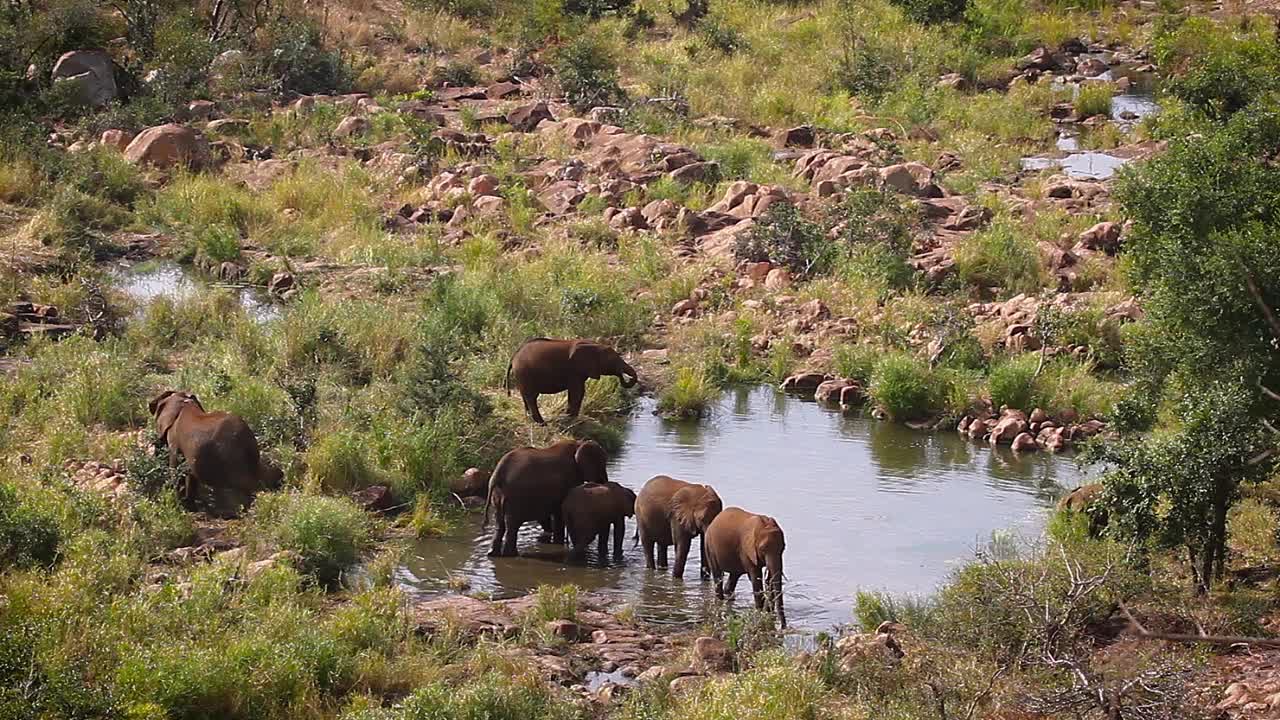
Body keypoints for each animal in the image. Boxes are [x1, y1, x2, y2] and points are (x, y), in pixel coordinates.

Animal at [483, 438, 614, 556]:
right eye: (602, 464)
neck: (579, 443)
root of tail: (497, 473)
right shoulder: (569, 478)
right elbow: (560, 513)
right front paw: (559, 543)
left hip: (499, 496)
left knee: (500, 523)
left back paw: (493, 554)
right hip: (515, 497)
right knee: (512, 524)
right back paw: (511, 555)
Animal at [501, 335, 637, 420]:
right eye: (613, 360)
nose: (628, 378)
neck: (595, 345)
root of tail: (513, 357)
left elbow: (577, 392)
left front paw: (570, 417)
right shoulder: (574, 371)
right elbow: (578, 392)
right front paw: (571, 418)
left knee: (526, 396)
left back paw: (530, 418)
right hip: (525, 373)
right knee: (531, 397)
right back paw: (542, 423)